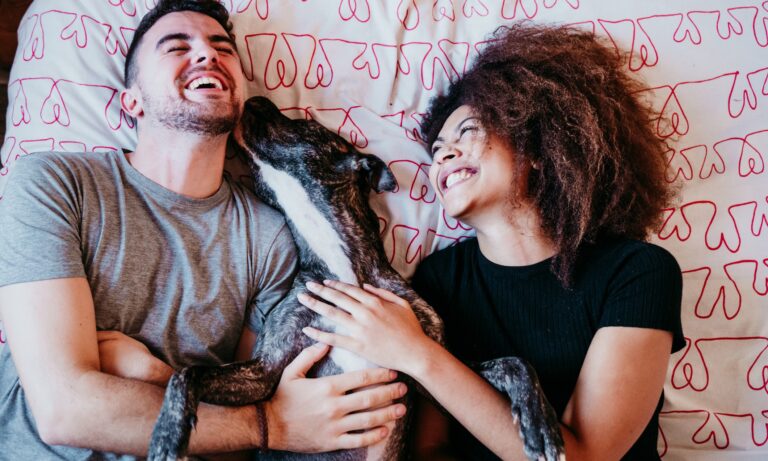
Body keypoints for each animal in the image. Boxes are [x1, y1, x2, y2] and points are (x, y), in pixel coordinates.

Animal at [147, 96, 564, 461]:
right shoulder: (265, 372)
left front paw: (541, 426)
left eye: (307, 124)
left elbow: (514, 362)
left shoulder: (433, 371)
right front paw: (168, 433)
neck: (343, 269)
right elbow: (187, 373)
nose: (253, 99)